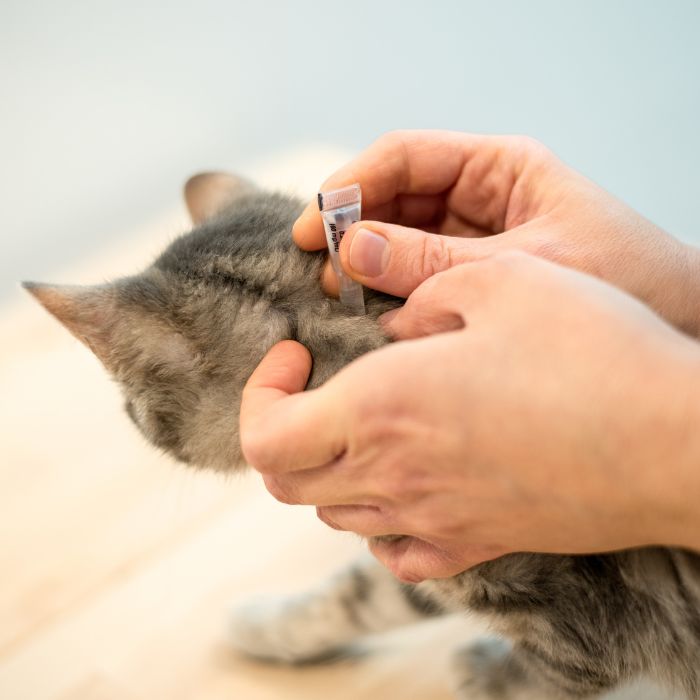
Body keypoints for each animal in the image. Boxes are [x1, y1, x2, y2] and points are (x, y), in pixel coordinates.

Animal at [26, 171, 700, 700]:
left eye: (130, 408)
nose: (128, 415)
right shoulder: (416, 548)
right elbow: (357, 595)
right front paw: (266, 626)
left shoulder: (577, 629)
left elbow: (544, 677)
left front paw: (484, 673)